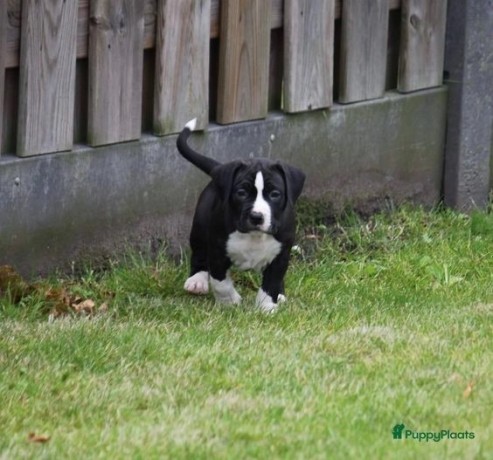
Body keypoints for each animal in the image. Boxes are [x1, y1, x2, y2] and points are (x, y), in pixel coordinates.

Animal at [175, 118, 302, 312]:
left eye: (275, 194)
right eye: (241, 193)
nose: (256, 216)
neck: (254, 236)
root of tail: (218, 168)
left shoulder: (281, 254)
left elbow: (272, 281)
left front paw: (266, 307)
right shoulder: (218, 250)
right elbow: (220, 281)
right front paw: (230, 301)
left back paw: (280, 296)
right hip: (199, 226)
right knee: (199, 253)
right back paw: (197, 281)